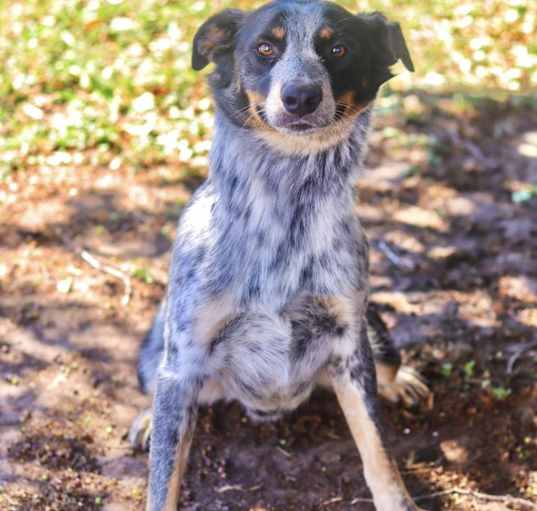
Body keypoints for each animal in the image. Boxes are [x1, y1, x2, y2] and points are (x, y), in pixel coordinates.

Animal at [127, 2, 430, 510]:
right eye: (265, 48)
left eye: (338, 48)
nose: (301, 96)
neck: (286, 213)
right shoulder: (184, 355)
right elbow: (163, 477)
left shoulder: (349, 343)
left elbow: (377, 448)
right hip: (155, 349)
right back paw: (146, 419)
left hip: (376, 334)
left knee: (386, 368)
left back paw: (402, 381)